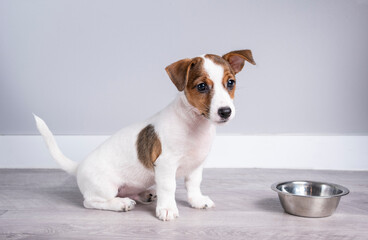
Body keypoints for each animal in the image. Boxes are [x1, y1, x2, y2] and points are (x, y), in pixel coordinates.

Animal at [33, 49, 256, 221]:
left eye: (230, 82)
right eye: (202, 86)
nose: (225, 111)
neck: (194, 124)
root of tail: (78, 166)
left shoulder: (196, 165)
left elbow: (194, 185)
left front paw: (197, 201)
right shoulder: (165, 165)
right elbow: (169, 187)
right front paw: (167, 209)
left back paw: (145, 194)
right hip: (105, 188)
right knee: (91, 201)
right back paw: (121, 204)